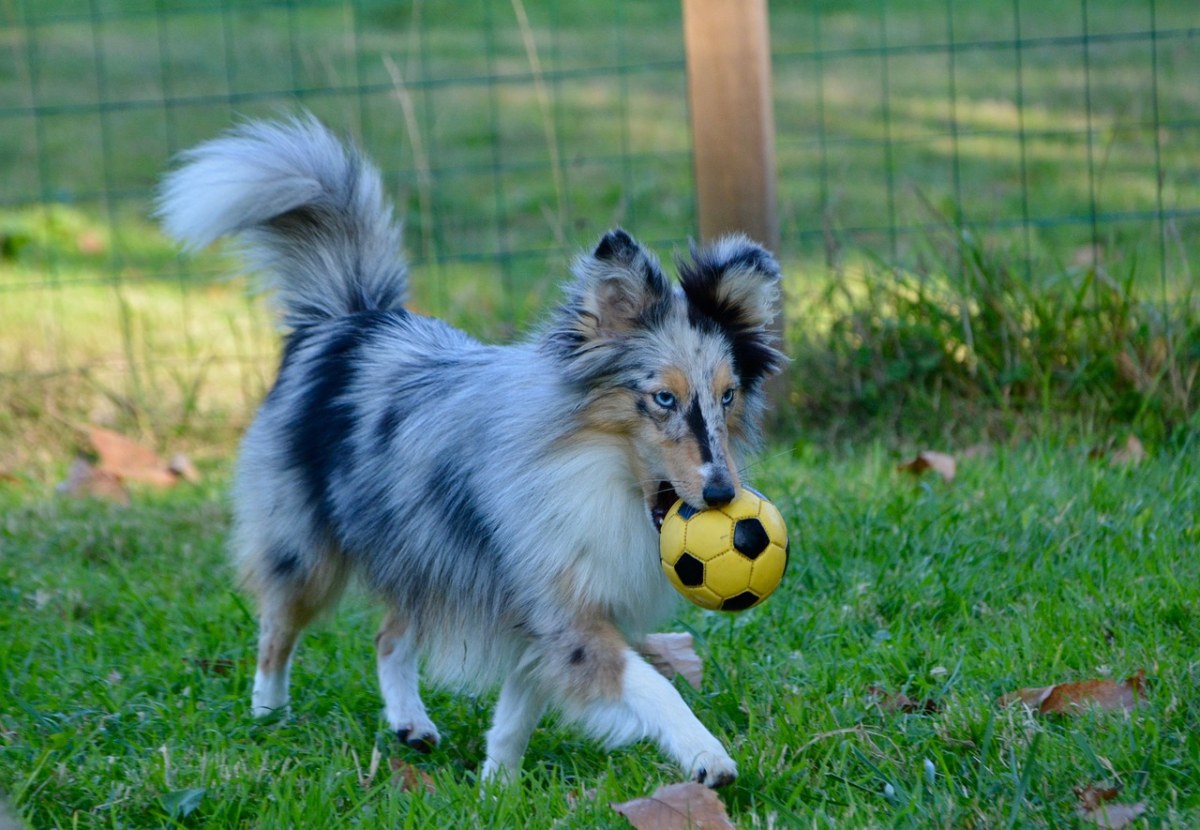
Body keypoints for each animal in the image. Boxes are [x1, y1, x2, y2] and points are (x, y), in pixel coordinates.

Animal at [154, 115, 782, 786]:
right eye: (663, 398)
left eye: (728, 395)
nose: (722, 495)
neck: (593, 469)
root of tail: (349, 318)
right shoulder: (563, 613)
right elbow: (649, 685)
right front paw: (705, 755)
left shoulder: (535, 608)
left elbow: (516, 709)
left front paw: (495, 786)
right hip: (305, 548)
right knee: (277, 628)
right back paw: (268, 714)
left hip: (423, 551)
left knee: (388, 636)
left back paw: (410, 723)